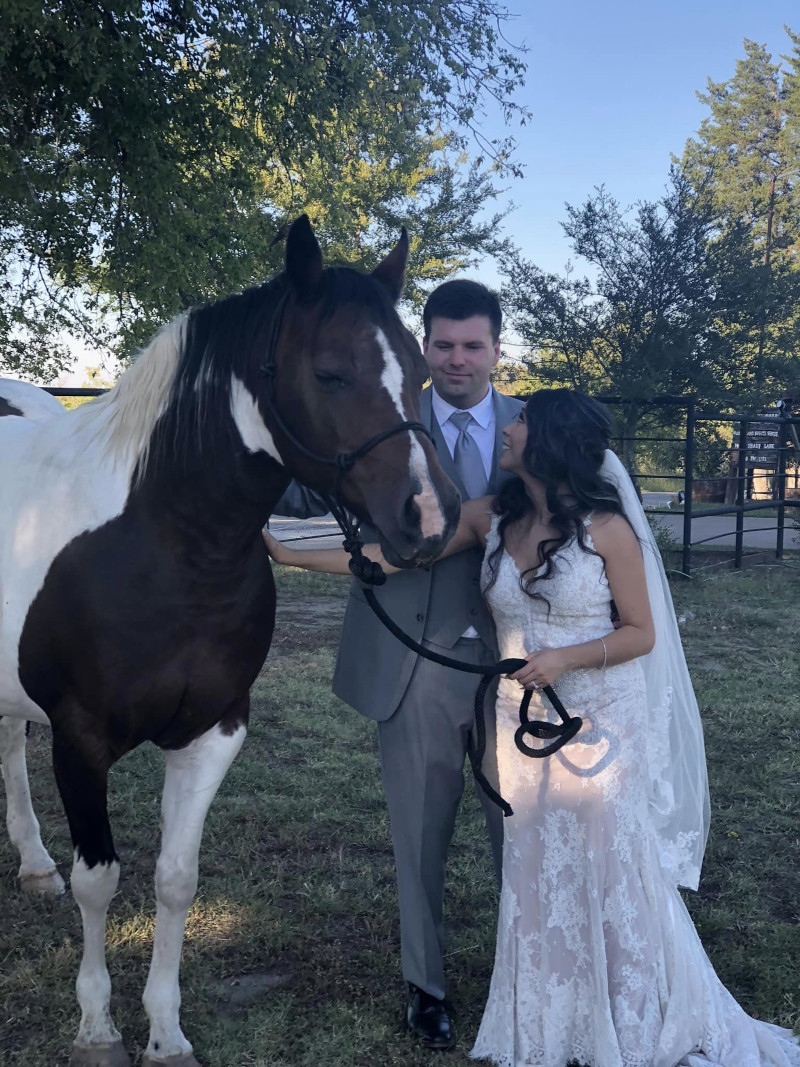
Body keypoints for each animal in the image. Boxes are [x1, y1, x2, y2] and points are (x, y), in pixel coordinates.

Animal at [0, 216, 460, 1067]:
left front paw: (167, 1031)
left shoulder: (214, 730)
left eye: (419, 370)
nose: (432, 519)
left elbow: (176, 878)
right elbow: (99, 881)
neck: (164, 542)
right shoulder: (80, 741)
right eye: (330, 372)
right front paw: (97, 1027)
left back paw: (34, 864)